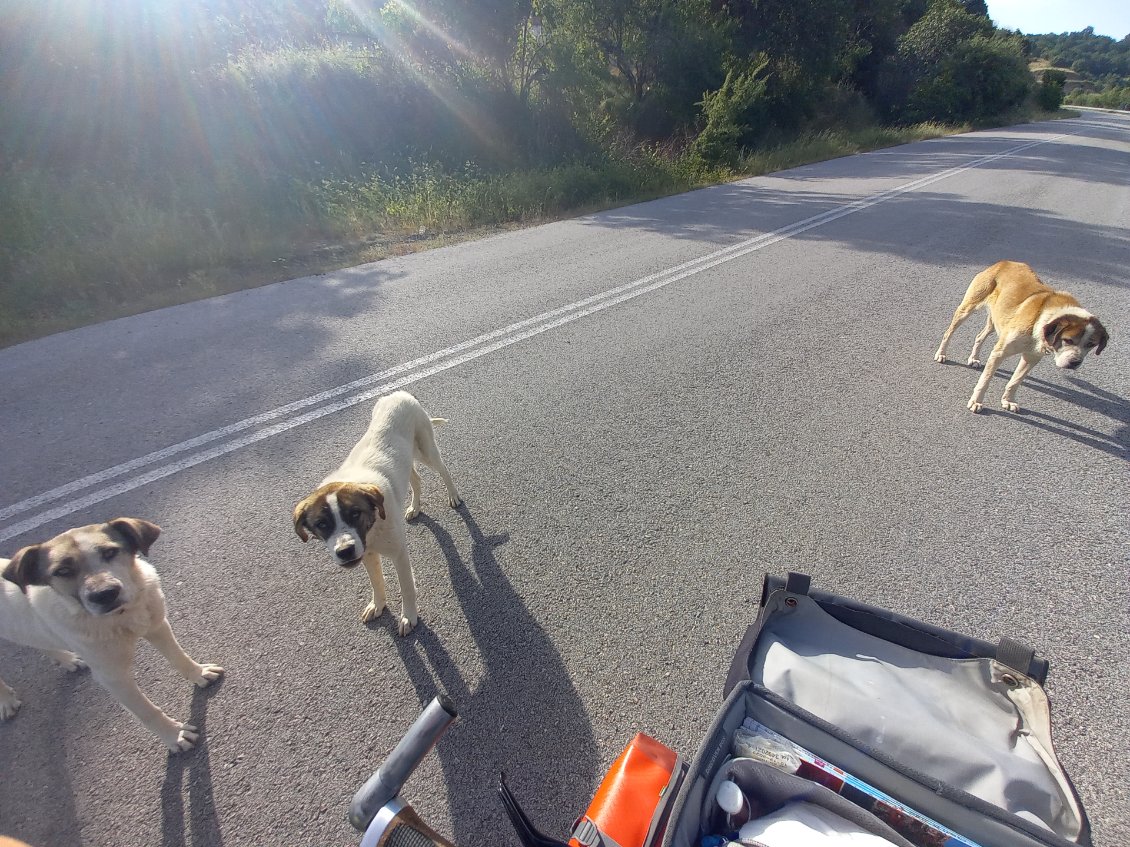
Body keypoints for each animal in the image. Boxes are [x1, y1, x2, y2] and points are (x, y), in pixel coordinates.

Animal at [1, 521, 223, 754]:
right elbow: (146, 711)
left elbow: (178, 657)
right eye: (62, 571)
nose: (104, 594)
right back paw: (6, 701)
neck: (121, 617)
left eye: (109, 552)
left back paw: (68, 660)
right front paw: (174, 734)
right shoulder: (113, 677)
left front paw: (199, 673)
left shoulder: (156, 625)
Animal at [296, 390, 467, 636]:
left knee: (443, 470)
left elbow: (406, 587)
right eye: (322, 524)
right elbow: (376, 581)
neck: (373, 526)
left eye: (355, 513)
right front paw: (377, 605)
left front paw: (408, 617)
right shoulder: (367, 554)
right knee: (416, 479)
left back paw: (453, 495)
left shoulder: (399, 553)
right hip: (408, 460)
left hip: (426, 450)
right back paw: (415, 507)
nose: (345, 551)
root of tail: (400, 393)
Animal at [935, 262, 1111, 415]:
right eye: (1068, 340)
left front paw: (1008, 401)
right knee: (948, 333)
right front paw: (976, 402)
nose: (1075, 362)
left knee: (980, 336)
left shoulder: (1031, 358)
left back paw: (974, 358)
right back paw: (941, 354)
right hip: (968, 308)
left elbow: (1015, 381)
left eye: (1091, 344)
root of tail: (1005, 262)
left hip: (998, 320)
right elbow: (985, 381)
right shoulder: (999, 353)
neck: (1044, 318)